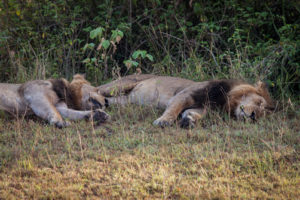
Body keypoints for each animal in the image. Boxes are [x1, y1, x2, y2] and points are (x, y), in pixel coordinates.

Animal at [98, 74, 274, 128]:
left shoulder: (204, 108)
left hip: (124, 101)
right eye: (259, 103)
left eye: (262, 115)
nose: (253, 116)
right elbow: (173, 109)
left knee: (109, 101)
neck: (226, 101)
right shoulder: (185, 95)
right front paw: (163, 121)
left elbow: (193, 113)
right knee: (97, 90)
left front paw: (188, 120)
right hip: (121, 84)